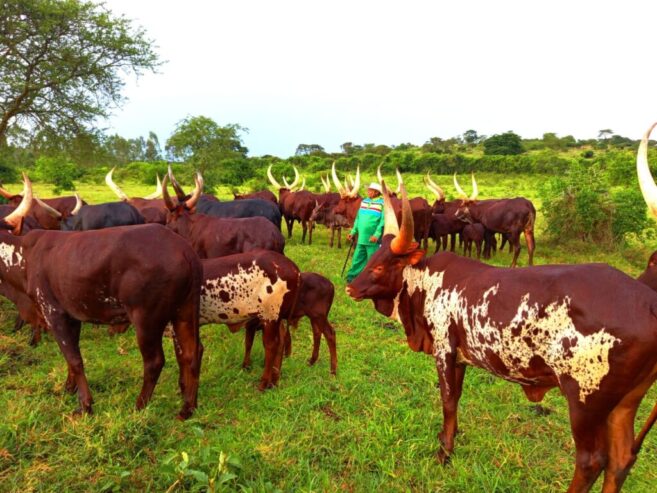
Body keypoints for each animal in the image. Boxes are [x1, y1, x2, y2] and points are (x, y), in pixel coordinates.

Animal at [0, 175, 202, 418]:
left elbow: (75, 359)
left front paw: (85, 404)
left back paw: (139, 405)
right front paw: (69, 388)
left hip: (147, 320)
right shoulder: (72, 315)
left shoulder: (53, 313)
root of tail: (184, 249)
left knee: (155, 362)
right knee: (191, 353)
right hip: (185, 311)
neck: (23, 256)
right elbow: (71, 358)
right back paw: (187, 408)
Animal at [348, 177, 657, 492]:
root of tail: (648, 301)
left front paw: (443, 454)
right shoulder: (460, 357)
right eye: (372, 258)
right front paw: (450, 443)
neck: (424, 281)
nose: (350, 288)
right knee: (621, 459)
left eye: (380, 266)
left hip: (585, 402)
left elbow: (446, 399)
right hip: (625, 403)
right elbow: (455, 399)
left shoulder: (443, 350)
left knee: (591, 461)